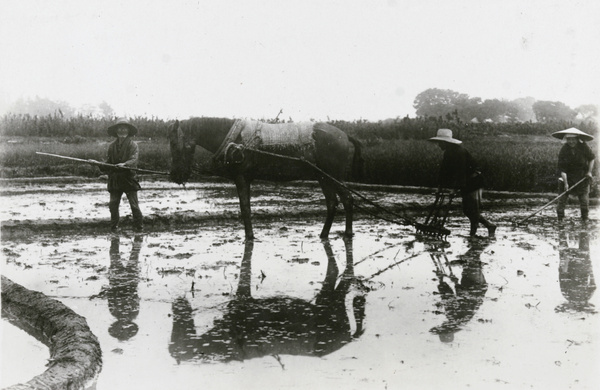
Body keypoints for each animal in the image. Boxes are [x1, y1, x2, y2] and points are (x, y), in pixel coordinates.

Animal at [166, 116, 364, 238]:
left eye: (174, 143)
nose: (175, 175)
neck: (235, 141)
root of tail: (345, 135)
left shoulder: (241, 178)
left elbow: (245, 209)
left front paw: (249, 237)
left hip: (332, 176)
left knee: (347, 199)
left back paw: (347, 233)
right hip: (322, 177)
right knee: (332, 203)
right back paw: (323, 235)